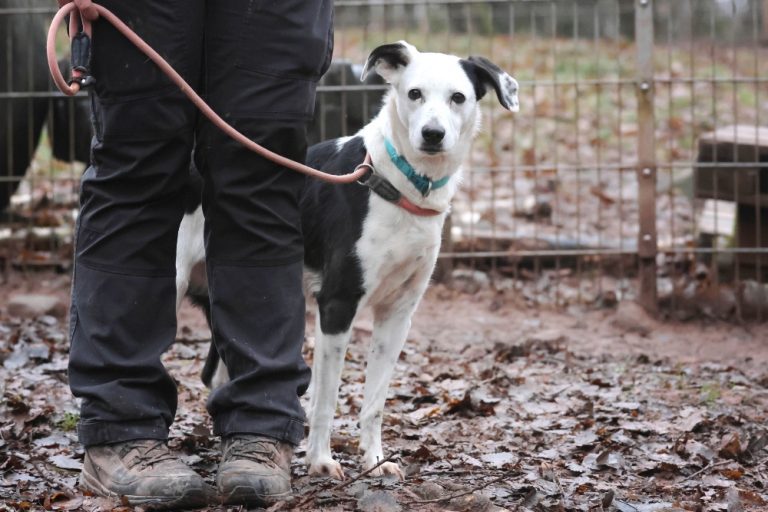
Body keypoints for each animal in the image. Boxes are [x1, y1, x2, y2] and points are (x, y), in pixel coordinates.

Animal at [175, 40, 519, 480]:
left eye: (458, 97)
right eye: (414, 93)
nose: (432, 134)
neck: (400, 183)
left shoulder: (398, 314)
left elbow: (374, 402)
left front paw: (374, 462)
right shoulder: (336, 306)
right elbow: (326, 398)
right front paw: (321, 461)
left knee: (215, 374)